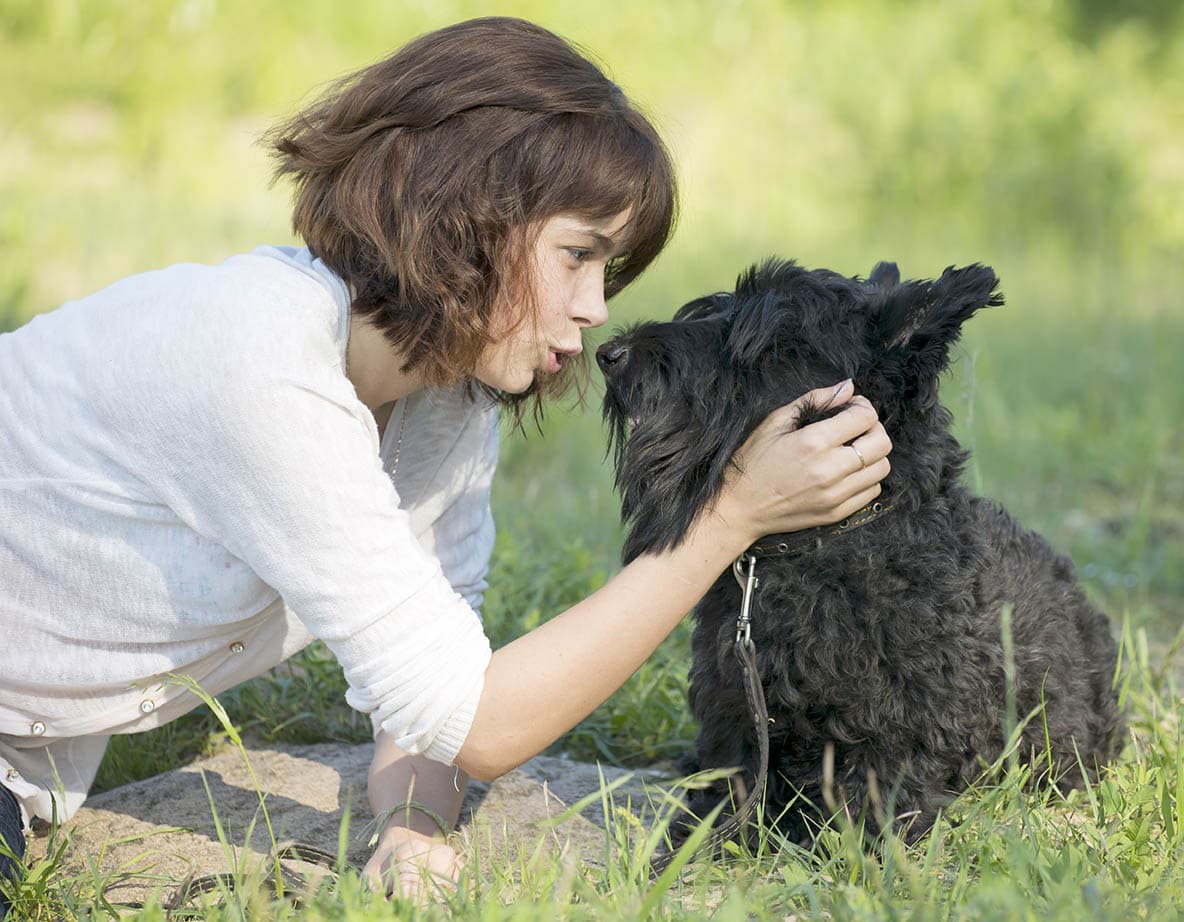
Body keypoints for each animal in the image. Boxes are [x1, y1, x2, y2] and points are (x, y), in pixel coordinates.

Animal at [596, 261, 1122, 852]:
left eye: (760, 339)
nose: (611, 353)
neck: (819, 545)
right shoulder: (734, 703)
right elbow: (731, 776)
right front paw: (704, 838)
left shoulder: (897, 720)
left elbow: (878, 788)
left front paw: (864, 853)